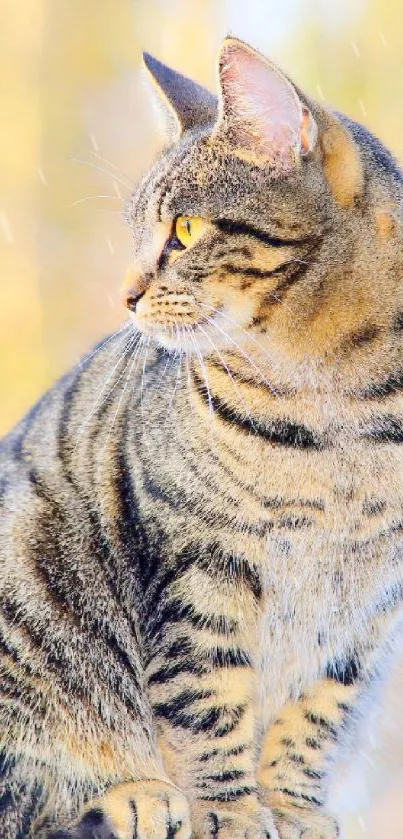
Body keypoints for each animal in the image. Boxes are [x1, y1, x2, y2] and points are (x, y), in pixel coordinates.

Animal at [0, 34, 403, 839]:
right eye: (136, 232)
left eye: (184, 230)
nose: (124, 294)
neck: (345, 408)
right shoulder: (199, 557)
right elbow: (206, 697)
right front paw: (232, 810)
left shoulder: (370, 601)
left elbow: (318, 711)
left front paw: (290, 806)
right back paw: (133, 794)